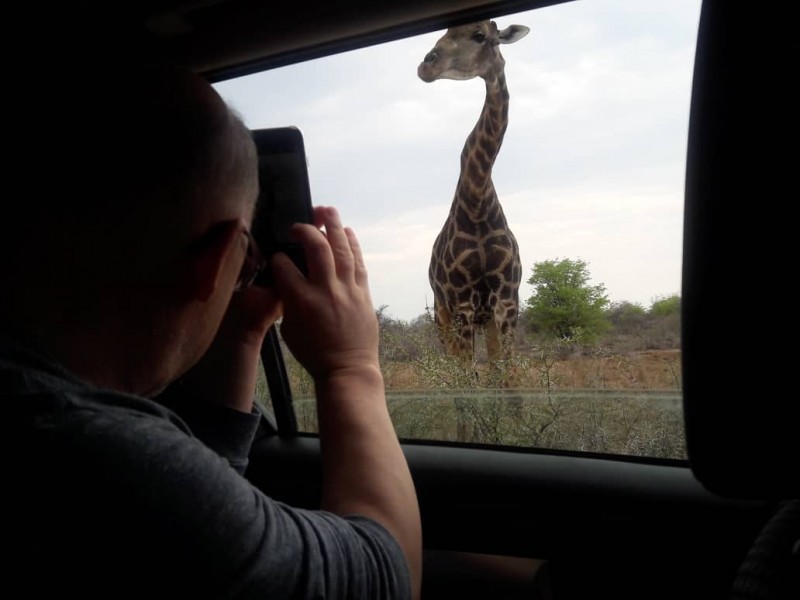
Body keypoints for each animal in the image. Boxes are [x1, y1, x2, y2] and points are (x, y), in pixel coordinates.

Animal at [418, 19, 532, 366]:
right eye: (445, 33)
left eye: (480, 36)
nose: (426, 65)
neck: (478, 199)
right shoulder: (461, 305)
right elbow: (468, 377)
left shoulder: (507, 303)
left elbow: (507, 376)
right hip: (441, 315)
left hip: (485, 322)